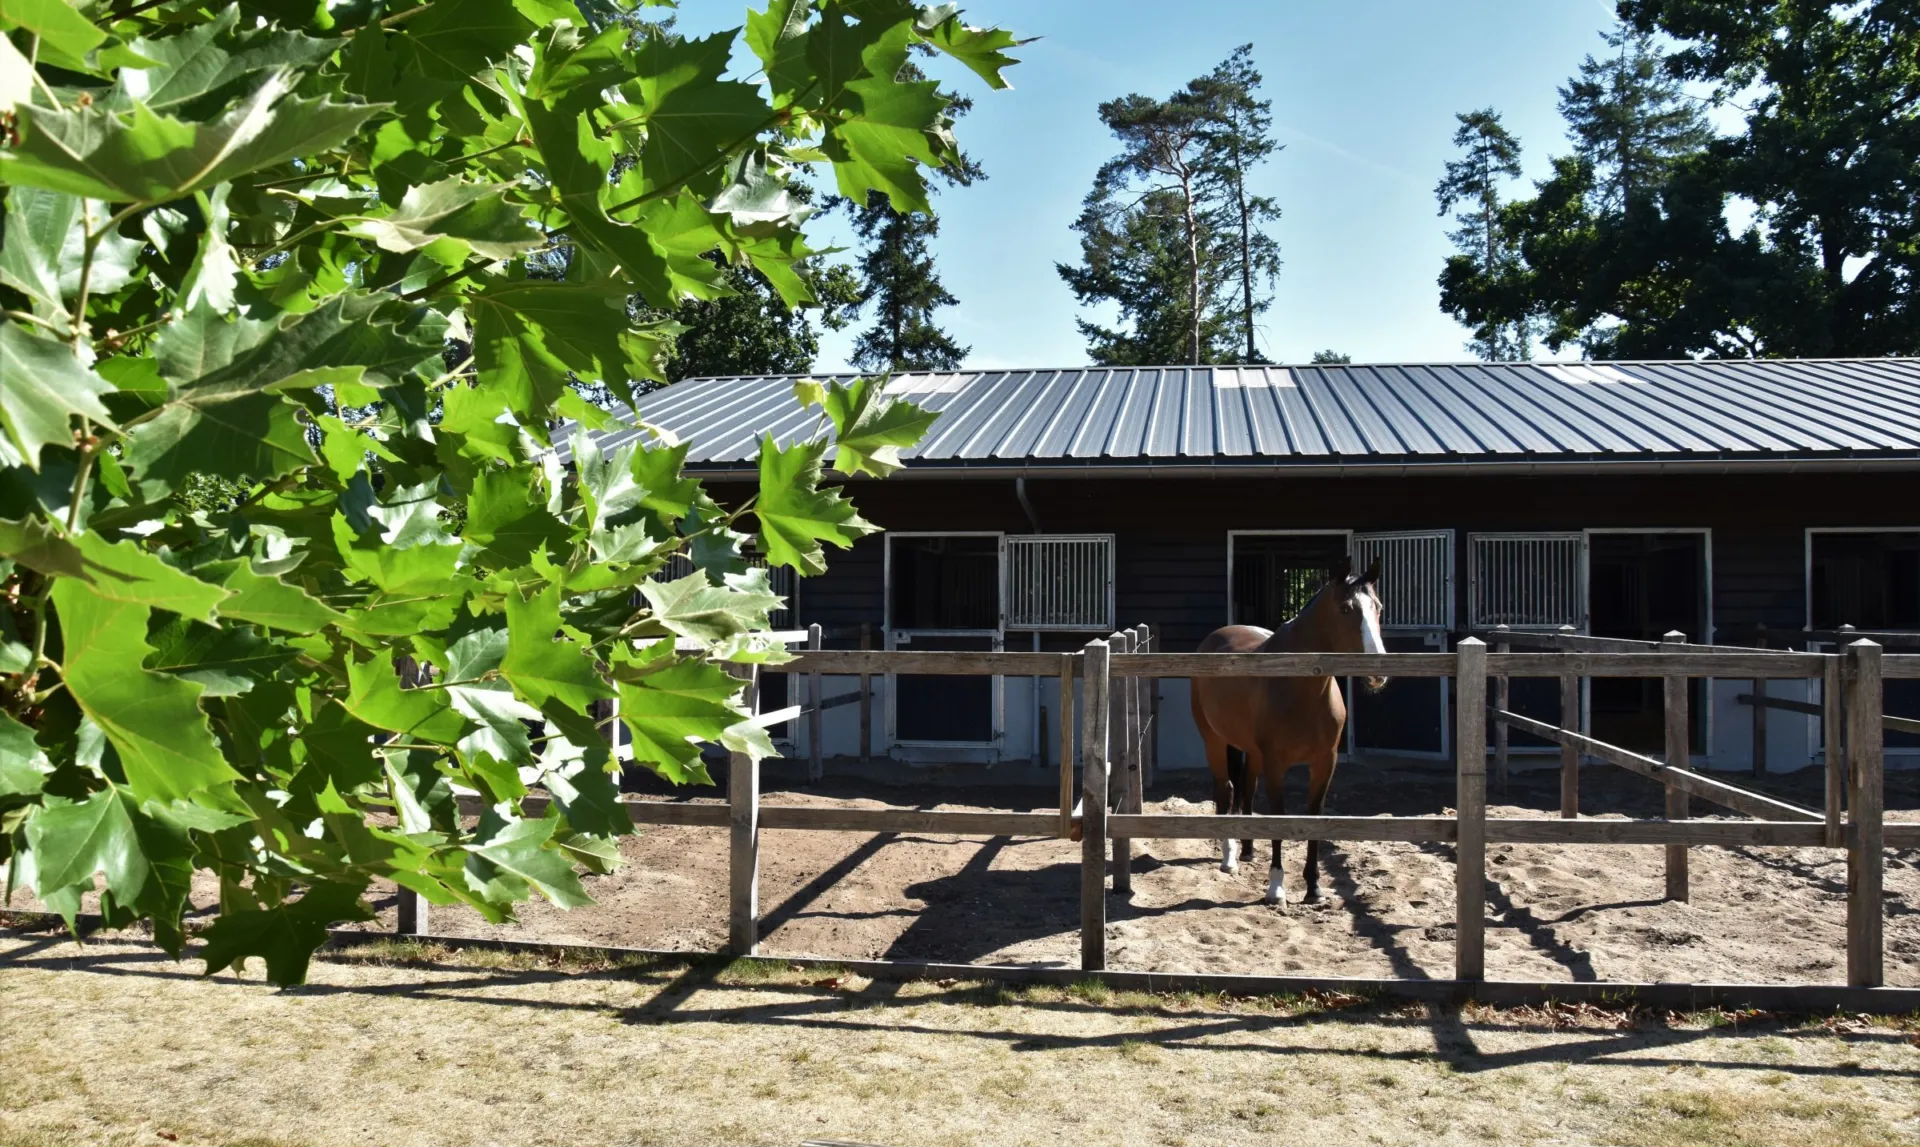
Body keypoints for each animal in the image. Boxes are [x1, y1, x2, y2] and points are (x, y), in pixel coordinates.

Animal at [1182, 561, 1382, 906]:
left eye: (1378, 608)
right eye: (1345, 609)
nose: (1377, 672)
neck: (1300, 686)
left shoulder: (1325, 763)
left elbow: (1313, 819)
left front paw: (1314, 888)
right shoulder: (1276, 763)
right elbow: (1279, 814)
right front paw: (1276, 887)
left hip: (1252, 751)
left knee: (1247, 789)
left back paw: (1248, 850)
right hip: (1215, 741)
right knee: (1227, 789)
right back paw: (1229, 858)